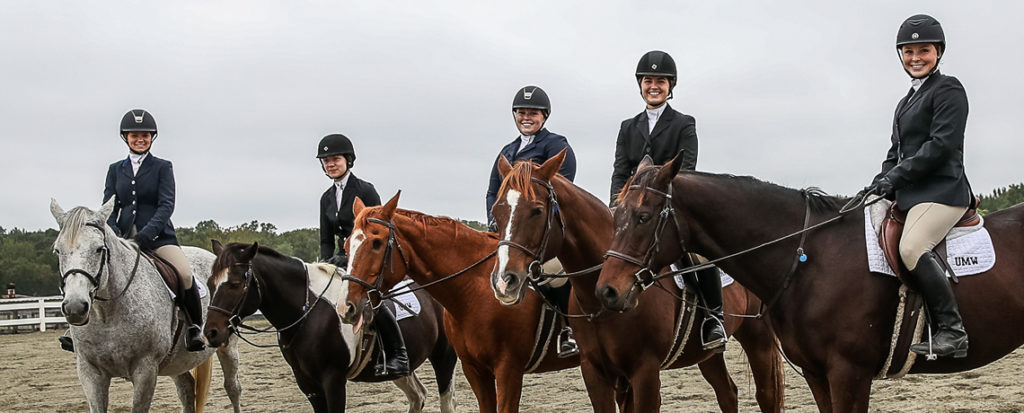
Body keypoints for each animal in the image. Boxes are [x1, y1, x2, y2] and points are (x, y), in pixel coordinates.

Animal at [51, 198, 243, 411]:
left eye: (99, 249)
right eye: (57, 250)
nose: (75, 307)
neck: (107, 314)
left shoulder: (145, 369)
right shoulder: (90, 372)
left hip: (227, 345)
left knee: (232, 388)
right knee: (186, 389)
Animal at [204, 240, 460, 411]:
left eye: (235, 284)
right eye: (209, 282)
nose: (211, 332)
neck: (308, 313)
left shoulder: (333, 380)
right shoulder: (307, 383)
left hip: (444, 356)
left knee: (446, 401)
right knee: (418, 397)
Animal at [337, 195, 585, 413]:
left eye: (377, 243)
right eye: (347, 245)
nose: (345, 307)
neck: (475, 291)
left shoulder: (508, 369)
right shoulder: (474, 369)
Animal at [487, 151, 782, 413]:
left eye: (536, 211)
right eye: (496, 212)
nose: (504, 282)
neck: (598, 300)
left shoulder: (645, 372)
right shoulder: (595, 372)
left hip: (759, 339)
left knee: (766, 396)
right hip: (707, 354)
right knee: (728, 394)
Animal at [598, 151, 1024, 413]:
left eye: (643, 217)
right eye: (616, 214)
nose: (607, 291)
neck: (809, 259)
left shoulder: (849, 373)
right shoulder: (818, 374)